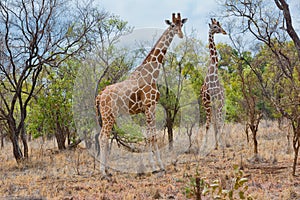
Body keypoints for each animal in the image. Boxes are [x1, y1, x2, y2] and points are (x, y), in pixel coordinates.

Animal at [95, 13, 188, 176]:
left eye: (181, 25)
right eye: (172, 25)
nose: (181, 34)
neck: (153, 73)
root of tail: (100, 95)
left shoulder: (148, 108)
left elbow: (149, 136)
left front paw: (154, 165)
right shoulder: (150, 105)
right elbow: (153, 136)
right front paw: (158, 166)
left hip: (108, 116)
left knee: (104, 137)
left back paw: (107, 169)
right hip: (107, 115)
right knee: (103, 137)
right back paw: (103, 172)